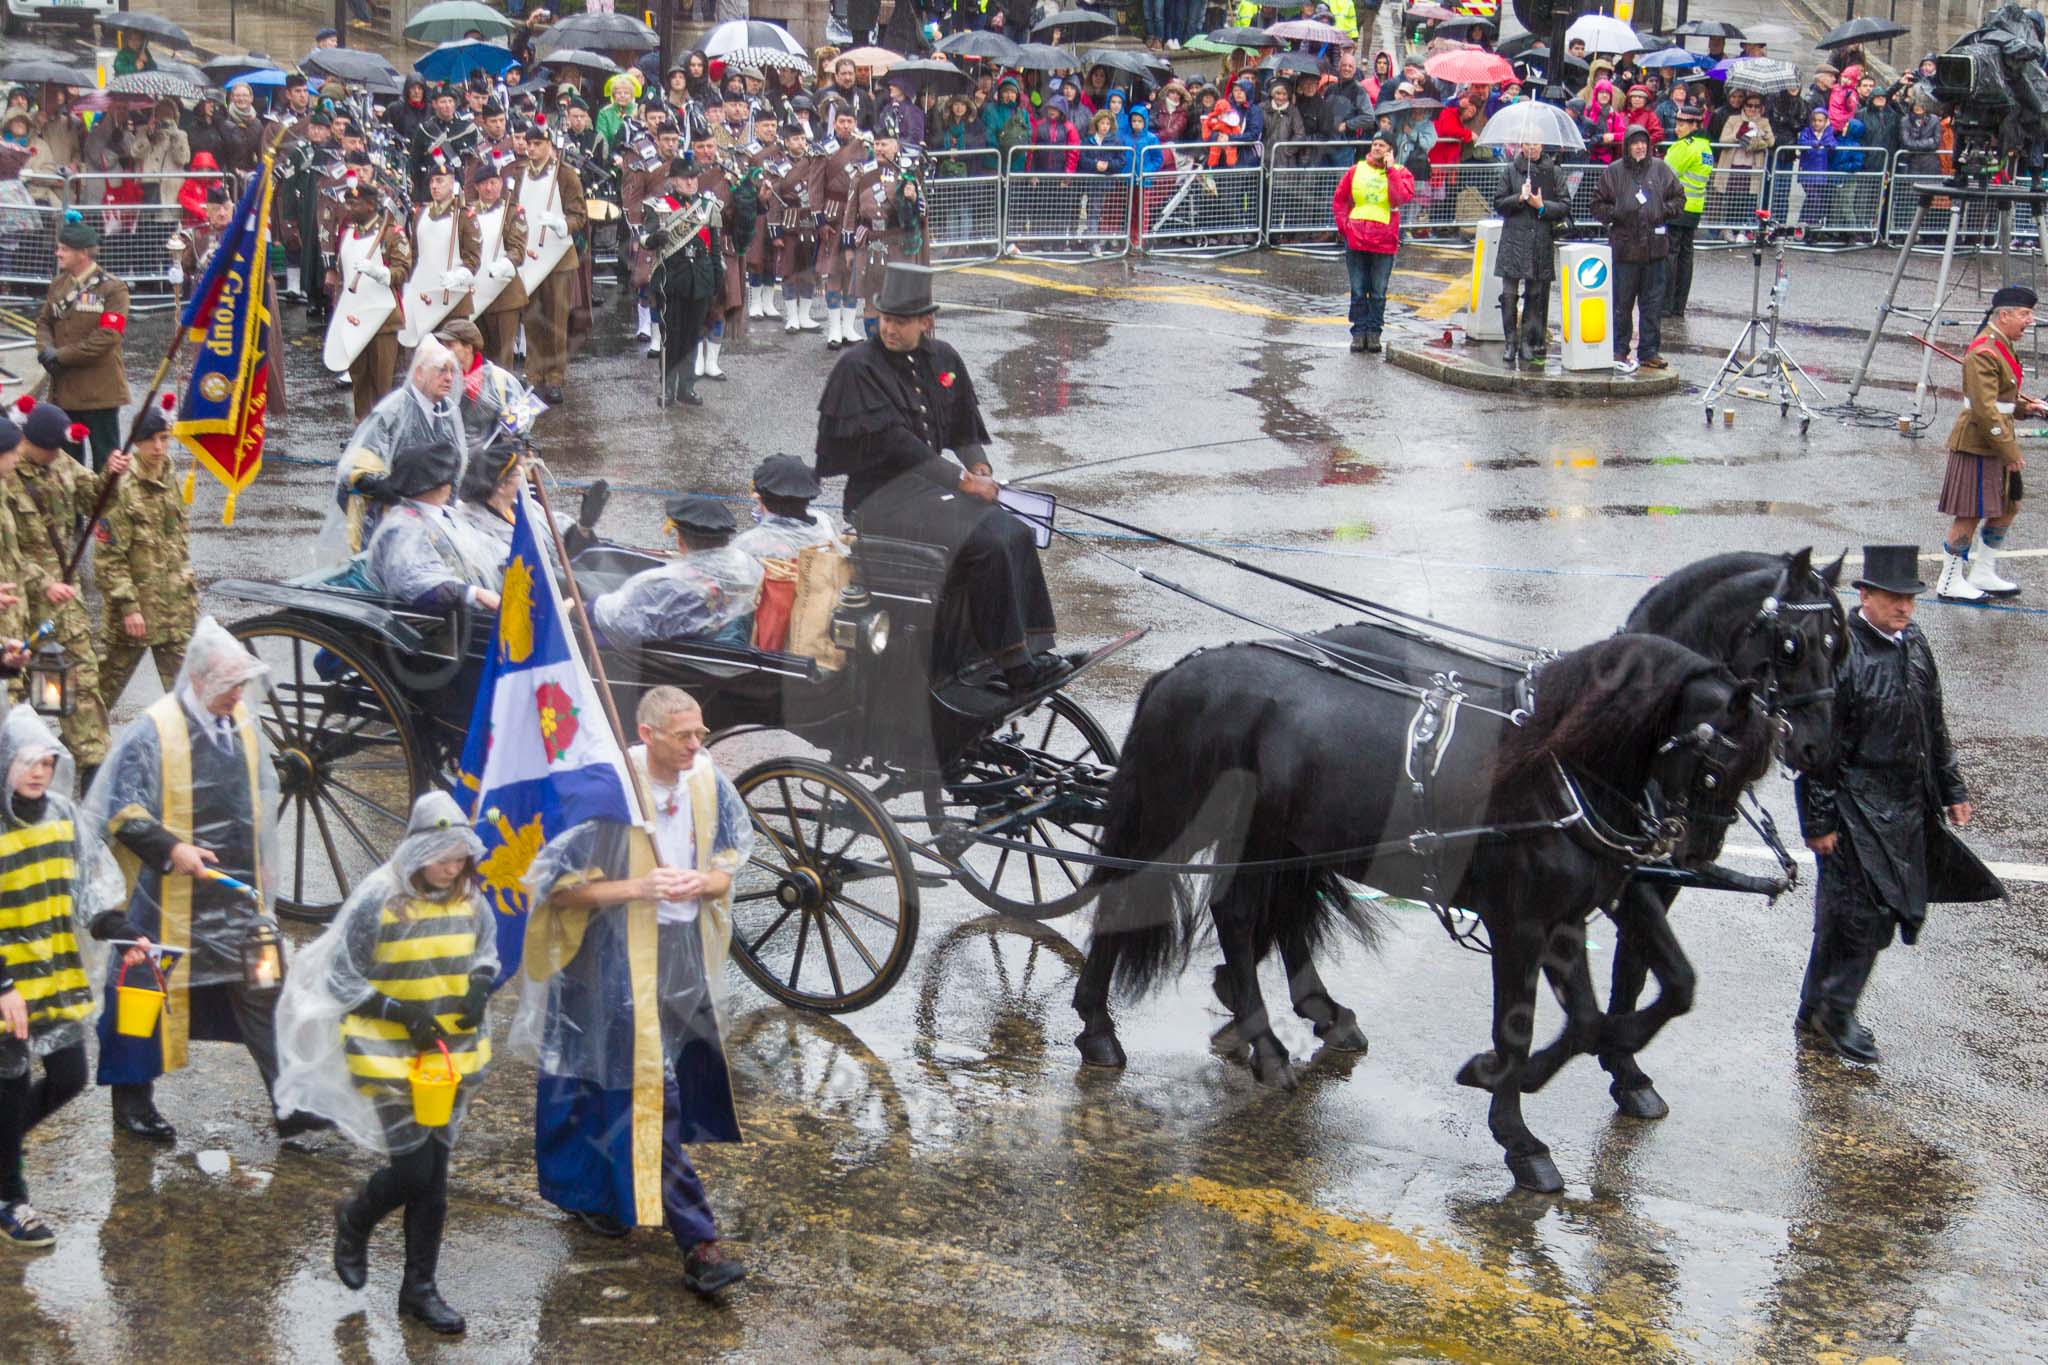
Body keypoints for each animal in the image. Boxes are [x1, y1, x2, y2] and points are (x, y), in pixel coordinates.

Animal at [1073, 634, 1777, 1186]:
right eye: (1714, 766)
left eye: (1756, 770)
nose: (1693, 851)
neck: (1551, 769)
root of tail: (1177, 672)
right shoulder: (1520, 924)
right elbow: (1521, 1029)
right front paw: (1518, 1134)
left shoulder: (1567, 915)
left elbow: (1601, 1014)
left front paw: (1546, 1070)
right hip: (1179, 820)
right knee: (1132, 895)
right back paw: (1107, 1028)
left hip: (1276, 842)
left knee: (1246, 918)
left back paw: (1271, 1038)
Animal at [1597, 544, 1859, 1121]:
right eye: (1791, 644)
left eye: (1839, 645)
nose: (1819, 748)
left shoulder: (1656, 881)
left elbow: (1634, 968)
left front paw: (1625, 1068)